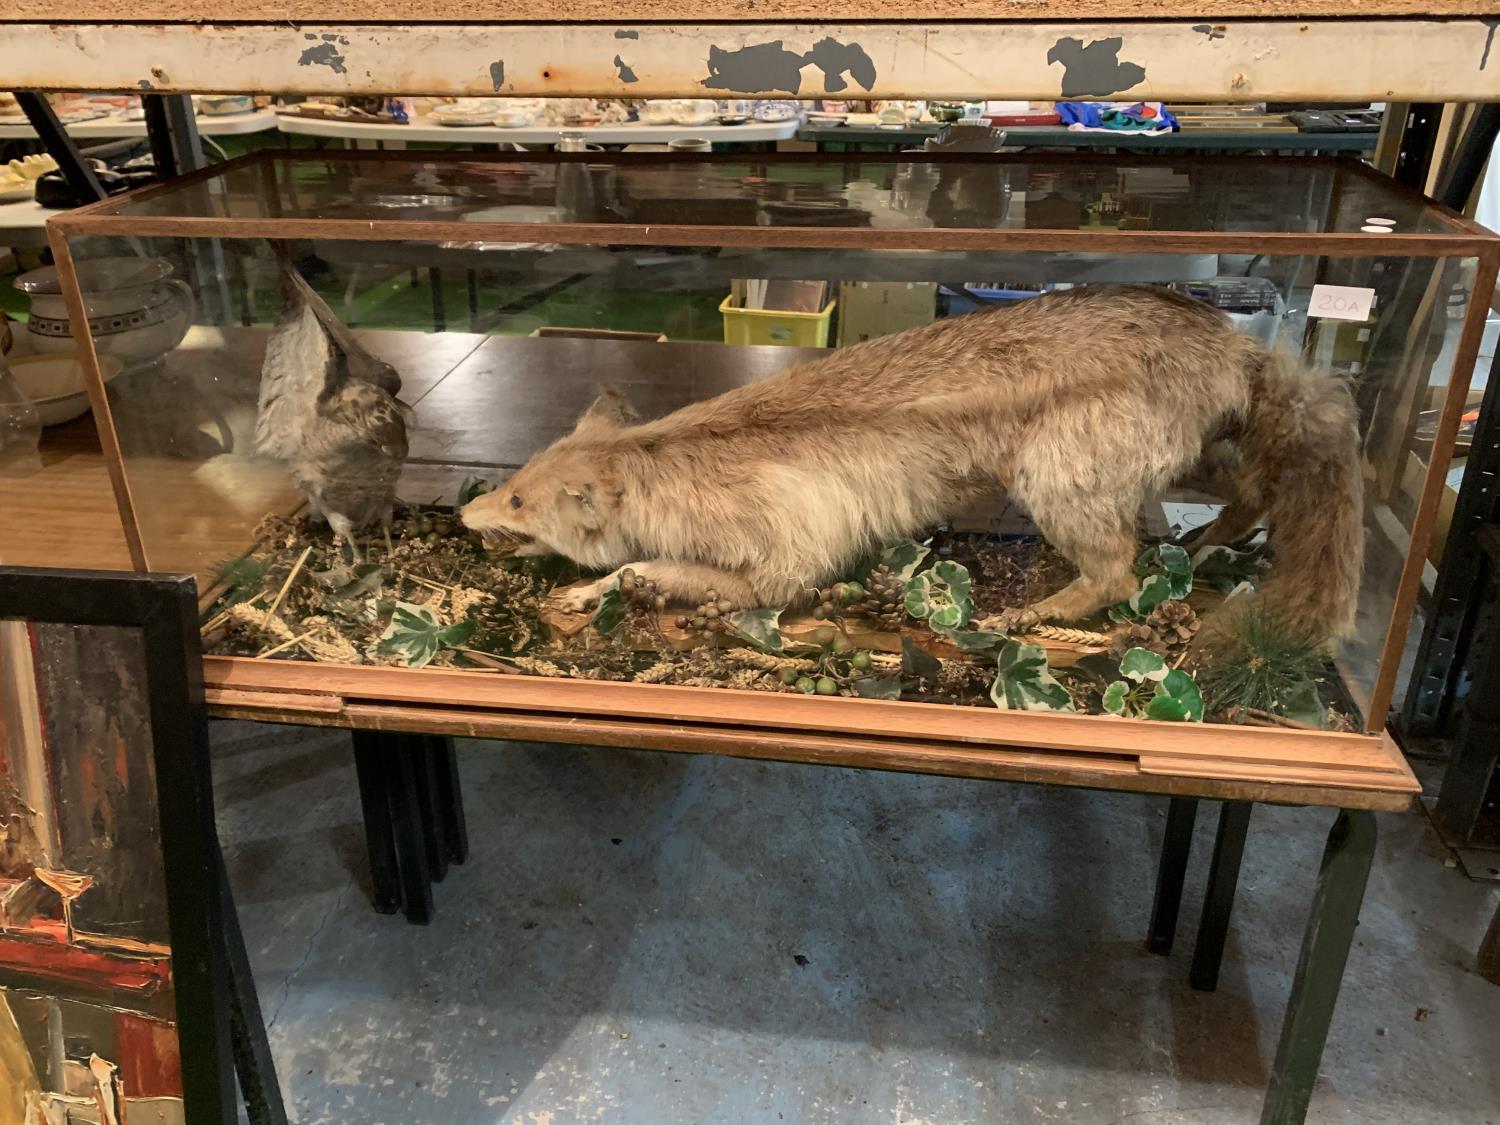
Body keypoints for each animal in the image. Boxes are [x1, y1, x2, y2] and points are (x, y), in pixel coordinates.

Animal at [462, 286, 1368, 648]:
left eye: (517, 501)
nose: (463, 515)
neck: (673, 460)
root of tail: (1235, 340)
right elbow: (633, 570)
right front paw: (587, 591)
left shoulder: (790, 559)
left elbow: (662, 571)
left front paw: (595, 589)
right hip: (1190, 457)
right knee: (1253, 487)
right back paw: (1212, 541)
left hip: (1058, 482)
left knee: (1120, 570)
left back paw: (1028, 615)